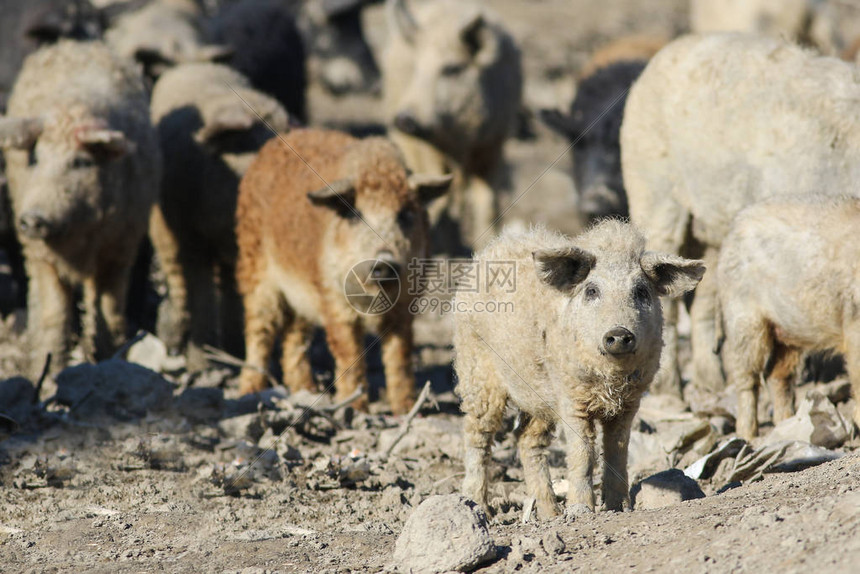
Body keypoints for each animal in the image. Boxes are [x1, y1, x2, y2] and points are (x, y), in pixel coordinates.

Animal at [233, 127, 450, 414]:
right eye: (355, 215)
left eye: (405, 214)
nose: (384, 261)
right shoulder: (333, 298)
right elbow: (349, 352)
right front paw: (356, 409)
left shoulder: (405, 305)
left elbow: (400, 356)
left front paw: (405, 410)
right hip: (254, 265)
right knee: (259, 329)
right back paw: (250, 392)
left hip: (301, 295)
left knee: (295, 338)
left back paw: (306, 391)